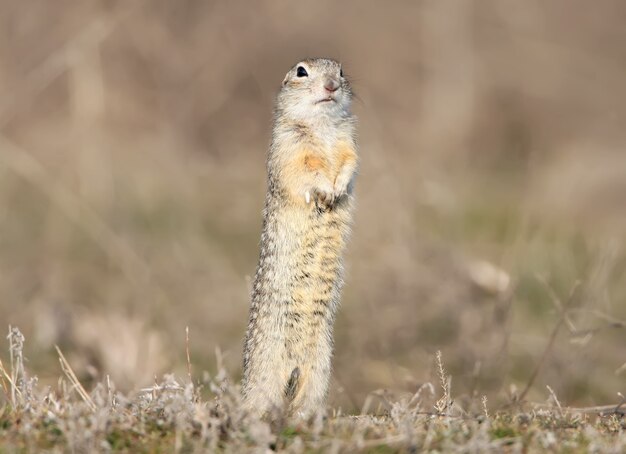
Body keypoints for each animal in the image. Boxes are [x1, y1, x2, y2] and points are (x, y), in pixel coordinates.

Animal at [240, 57, 356, 418]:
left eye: (342, 71)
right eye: (301, 72)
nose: (332, 85)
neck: (321, 126)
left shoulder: (349, 145)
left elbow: (349, 164)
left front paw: (338, 189)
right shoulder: (289, 148)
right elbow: (305, 171)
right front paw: (324, 192)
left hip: (320, 370)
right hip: (265, 372)